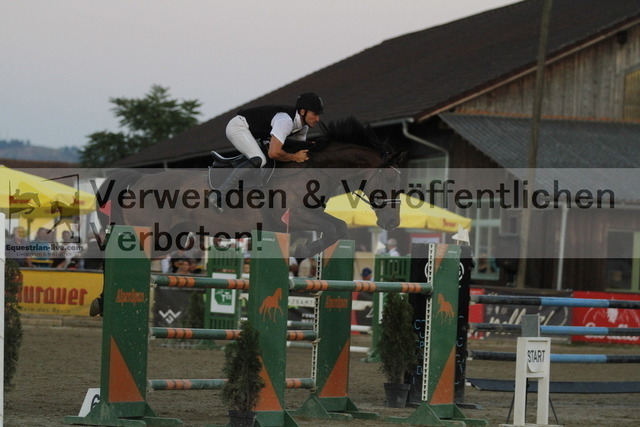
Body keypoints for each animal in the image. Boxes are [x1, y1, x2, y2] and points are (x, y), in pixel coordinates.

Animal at [95, 117, 405, 258]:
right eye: (390, 181)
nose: (393, 223)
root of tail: (139, 180)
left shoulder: (303, 218)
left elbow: (336, 228)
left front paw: (305, 249)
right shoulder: (296, 215)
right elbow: (336, 226)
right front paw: (304, 252)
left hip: (171, 238)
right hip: (152, 232)